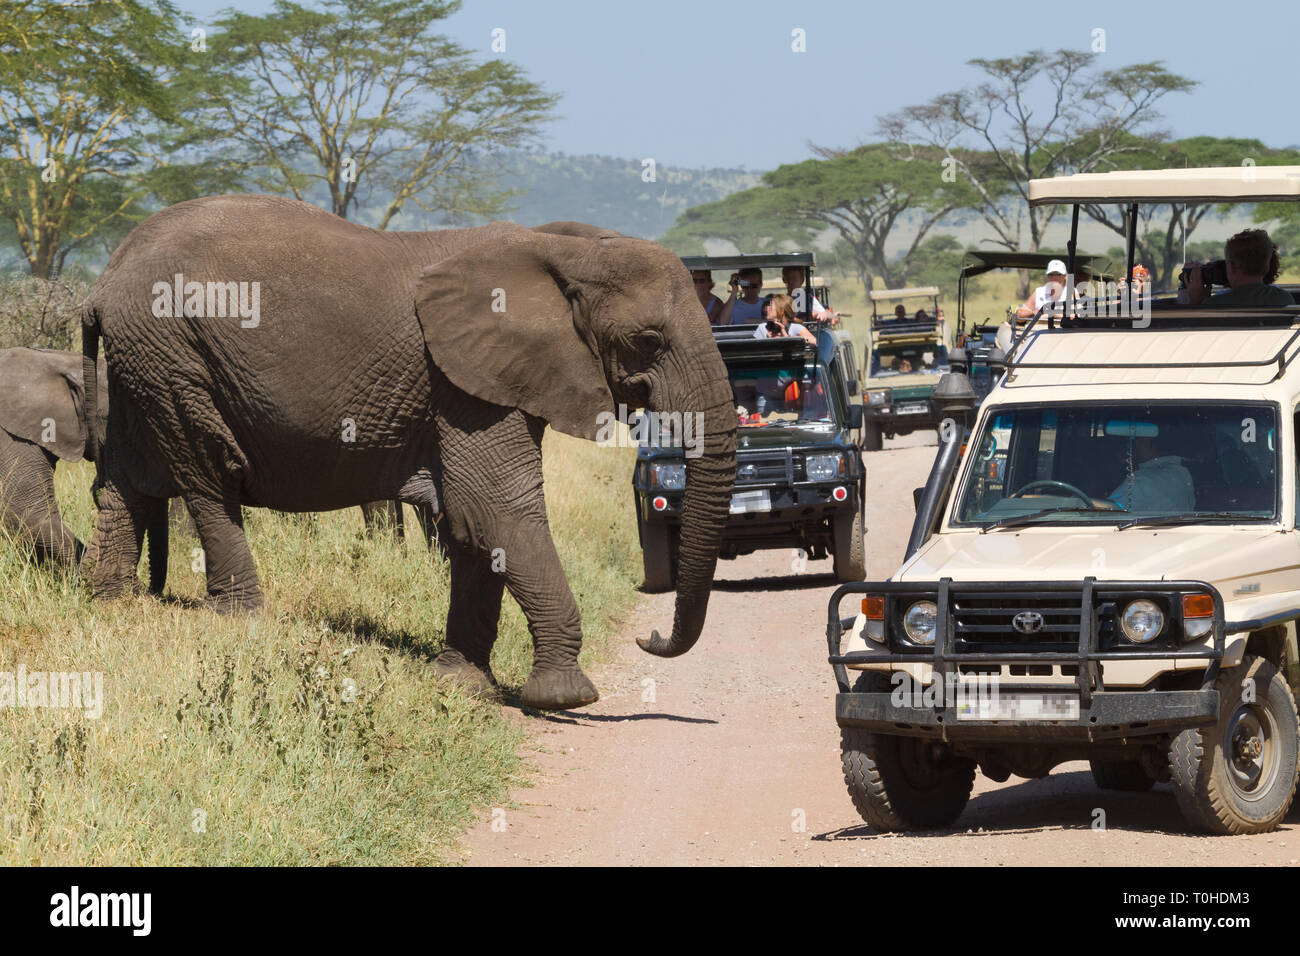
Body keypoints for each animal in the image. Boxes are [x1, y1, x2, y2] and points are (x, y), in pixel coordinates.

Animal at [81, 195, 738, 712]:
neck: (558, 250)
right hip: (173, 351)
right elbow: (494, 509)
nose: (649, 637)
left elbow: (473, 522)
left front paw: (460, 685)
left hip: (142, 363)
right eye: (648, 341)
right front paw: (563, 697)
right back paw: (242, 619)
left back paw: (114, 604)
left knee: (124, 484)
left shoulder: (480, 378)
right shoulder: (465, 384)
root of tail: (102, 282)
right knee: (210, 475)